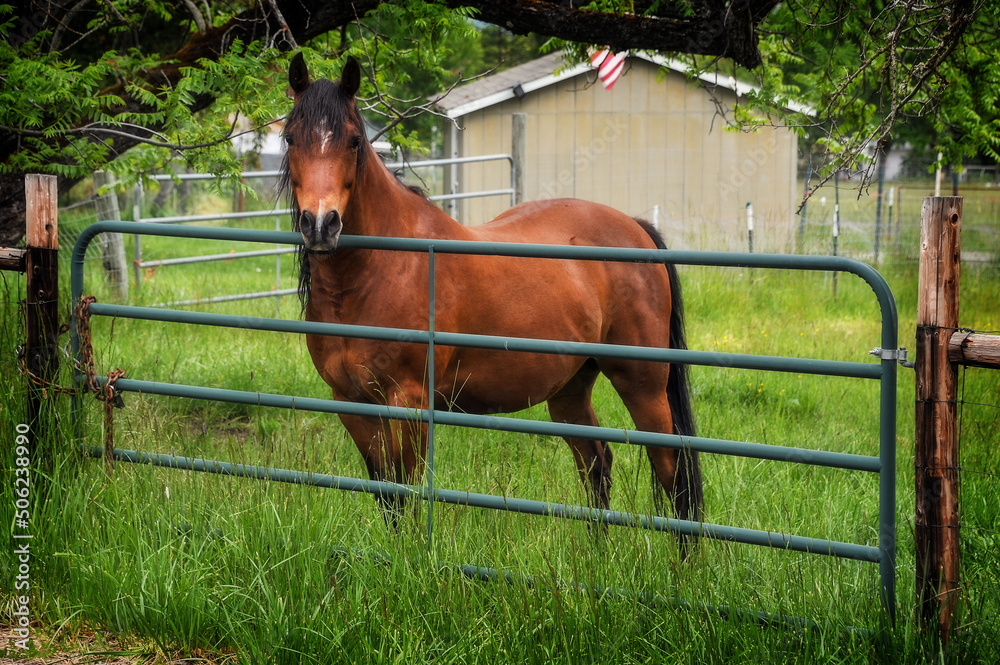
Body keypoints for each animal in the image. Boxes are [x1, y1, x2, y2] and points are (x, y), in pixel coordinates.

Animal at [280, 53, 703, 545]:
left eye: (352, 140)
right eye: (290, 138)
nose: (320, 224)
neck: (379, 271)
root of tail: (635, 227)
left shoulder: (409, 402)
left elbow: (410, 490)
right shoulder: (352, 405)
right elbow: (389, 497)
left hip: (642, 383)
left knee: (672, 470)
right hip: (570, 389)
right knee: (596, 460)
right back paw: (597, 553)